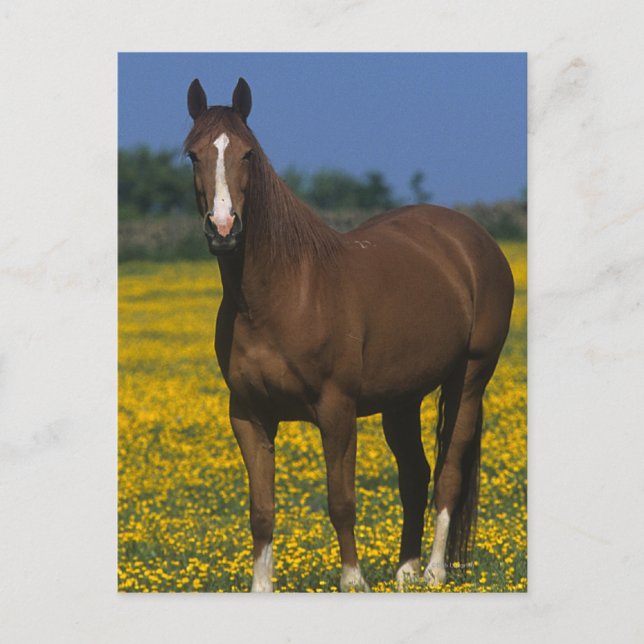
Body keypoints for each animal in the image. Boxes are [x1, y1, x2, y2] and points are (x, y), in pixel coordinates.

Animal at [183, 77, 514, 592]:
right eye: (193, 155)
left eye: (248, 154)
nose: (223, 228)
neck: (279, 296)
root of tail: (472, 239)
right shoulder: (250, 416)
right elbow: (261, 510)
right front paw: (262, 587)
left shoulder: (336, 410)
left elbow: (341, 501)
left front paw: (353, 581)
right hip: (402, 399)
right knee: (415, 475)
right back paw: (406, 571)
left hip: (470, 379)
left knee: (449, 472)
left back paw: (435, 570)